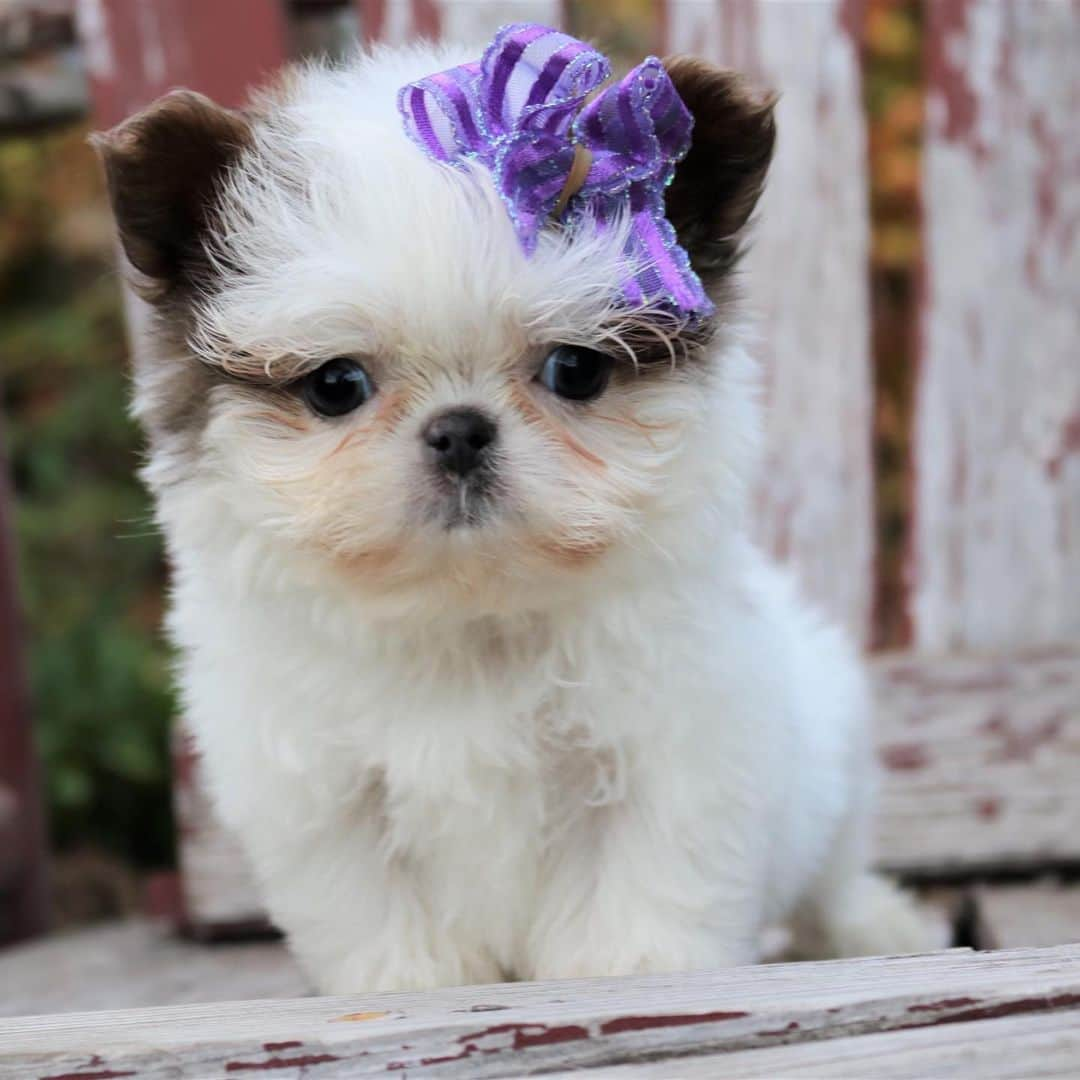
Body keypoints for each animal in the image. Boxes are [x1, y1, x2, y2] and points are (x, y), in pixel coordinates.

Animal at [97, 25, 933, 989]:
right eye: (336, 385)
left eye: (575, 370)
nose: (460, 430)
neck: (469, 620)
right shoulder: (327, 803)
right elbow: (378, 913)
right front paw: (413, 984)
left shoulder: (674, 755)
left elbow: (646, 888)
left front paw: (635, 972)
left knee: (831, 876)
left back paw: (875, 926)